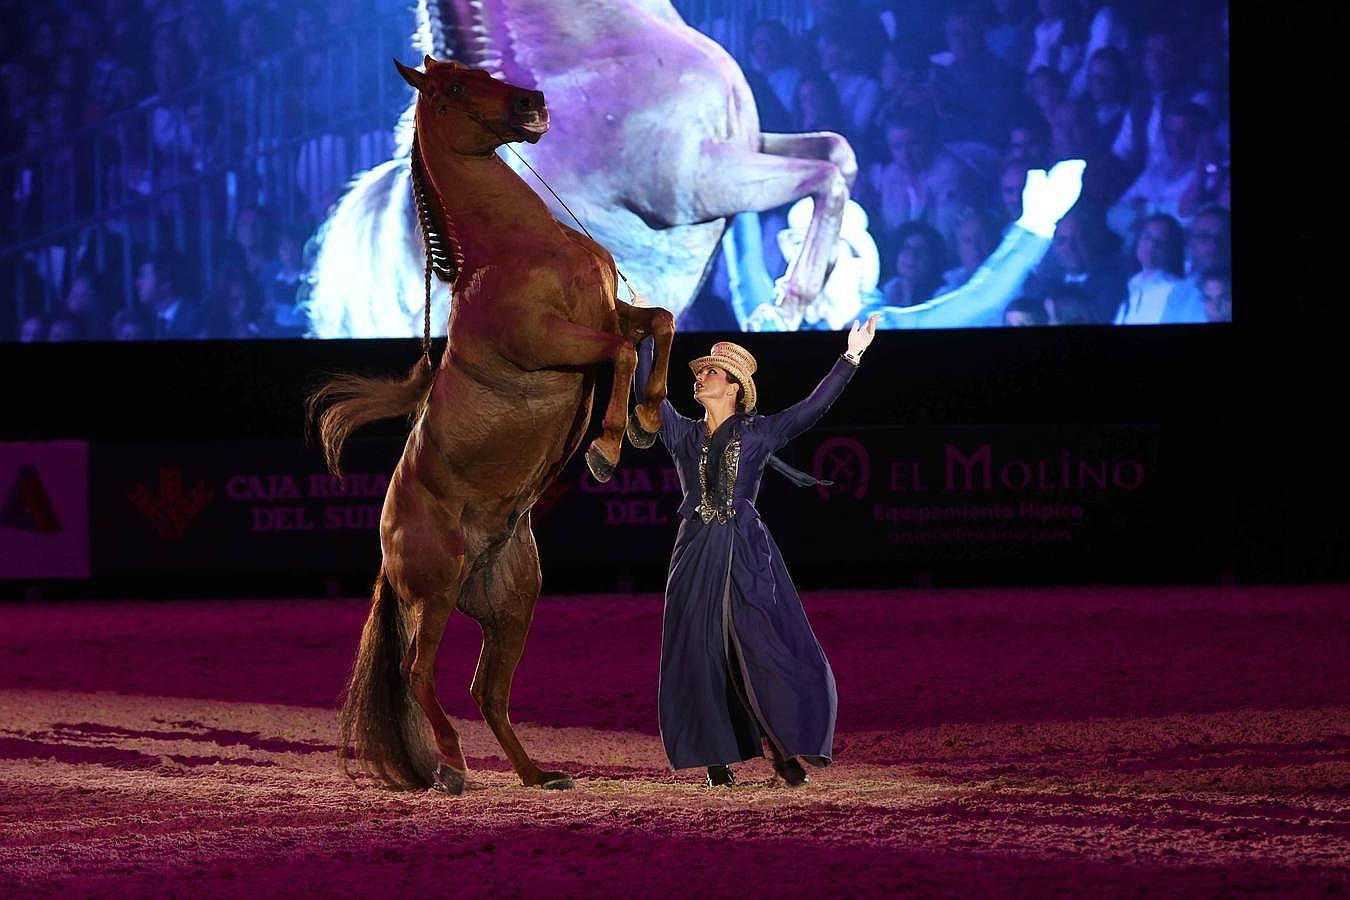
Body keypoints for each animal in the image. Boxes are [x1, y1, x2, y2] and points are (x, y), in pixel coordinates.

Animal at [313, 54, 675, 793]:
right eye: (452, 87)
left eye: (474, 69)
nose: (533, 103)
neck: (520, 247)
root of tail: (388, 551)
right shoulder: (551, 341)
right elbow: (625, 350)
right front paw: (606, 449)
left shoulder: (608, 315)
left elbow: (658, 322)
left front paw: (648, 419)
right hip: (436, 596)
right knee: (417, 675)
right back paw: (451, 767)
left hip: (512, 604)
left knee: (488, 692)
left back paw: (538, 776)